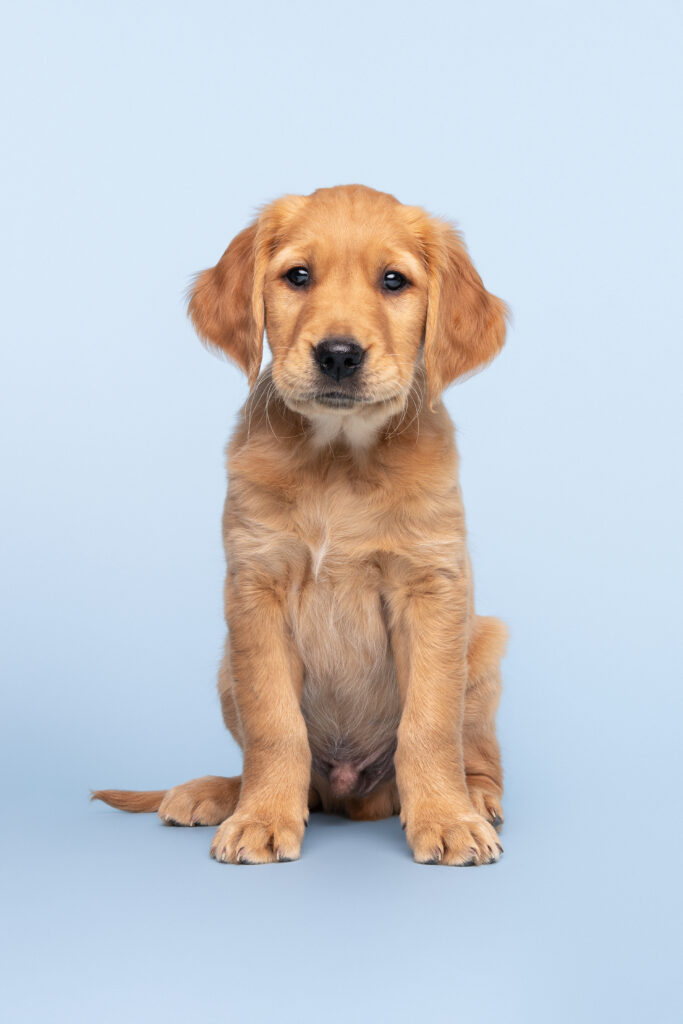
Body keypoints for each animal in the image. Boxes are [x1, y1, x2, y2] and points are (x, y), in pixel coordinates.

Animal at [93, 182, 507, 864]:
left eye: (394, 281)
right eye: (298, 276)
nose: (338, 354)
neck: (338, 456)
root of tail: (350, 794)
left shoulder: (432, 587)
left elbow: (428, 723)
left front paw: (447, 818)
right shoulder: (255, 588)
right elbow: (275, 725)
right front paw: (261, 817)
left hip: (486, 645)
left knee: (477, 754)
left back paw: (476, 799)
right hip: (226, 668)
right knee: (286, 767)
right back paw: (219, 793)